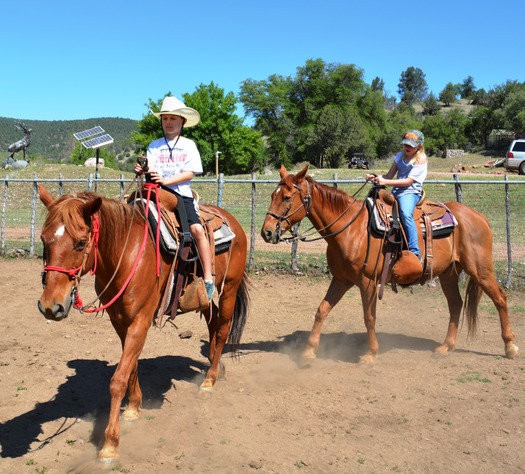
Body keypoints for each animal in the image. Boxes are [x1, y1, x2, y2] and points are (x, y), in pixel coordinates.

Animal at [37, 186, 250, 462]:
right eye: (43, 240)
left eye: (81, 242)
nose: (50, 306)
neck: (125, 254)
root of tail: (233, 221)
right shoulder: (119, 321)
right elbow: (131, 366)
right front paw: (133, 407)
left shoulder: (141, 320)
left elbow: (118, 379)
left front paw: (110, 444)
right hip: (205, 297)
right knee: (213, 323)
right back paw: (216, 365)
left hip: (230, 290)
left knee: (223, 329)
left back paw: (209, 380)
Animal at [260, 167, 516, 366]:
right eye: (273, 194)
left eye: (286, 197)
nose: (267, 232)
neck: (351, 229)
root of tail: (479, 217)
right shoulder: (341, 280)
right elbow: (322, 310)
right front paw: (309, 352)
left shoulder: (367, 282)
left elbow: (369, 317)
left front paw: (370, 354)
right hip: (449, 274)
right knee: (456, 304)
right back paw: (446, 347)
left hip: (480, 270)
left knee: (500, 298)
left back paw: (510, 347)